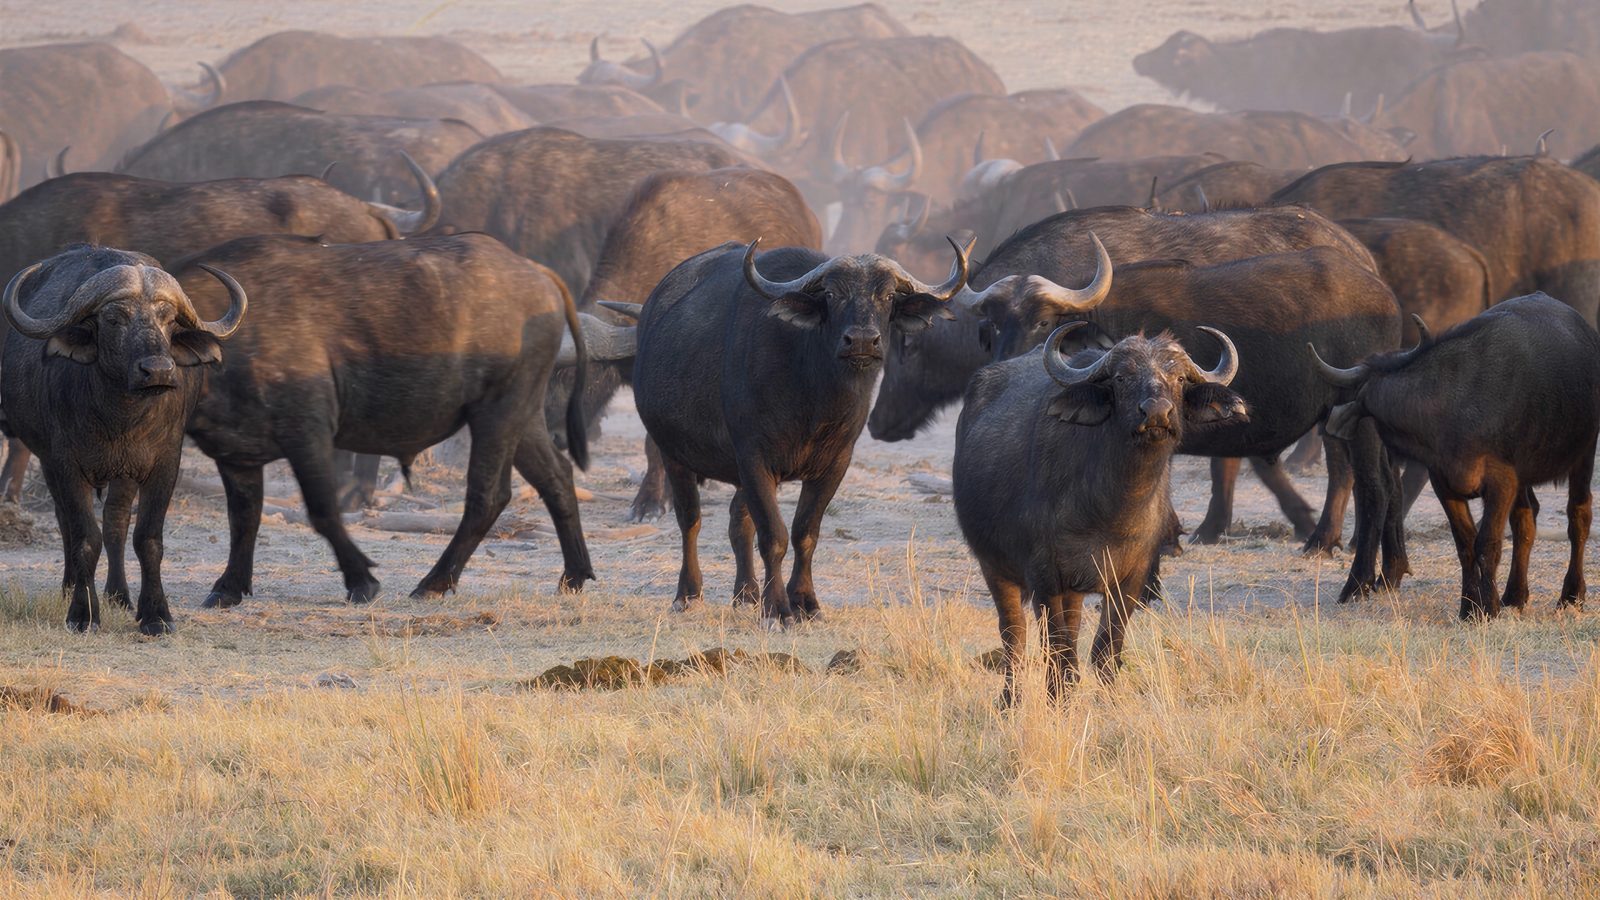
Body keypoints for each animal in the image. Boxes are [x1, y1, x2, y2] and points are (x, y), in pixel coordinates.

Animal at [1, 247, 246, 633]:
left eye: (168, 319)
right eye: (114, 319)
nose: (158, 370)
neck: (121, 419)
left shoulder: (163, 464)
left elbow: (146, 537)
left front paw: (156, 615)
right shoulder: (64, 464)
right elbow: (85, 537)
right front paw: (83, 613)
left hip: (123, 474)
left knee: (116, 522)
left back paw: (119, 594)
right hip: (50, 462)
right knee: (66, 522)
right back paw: (70, 586)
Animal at [631, 238, 968, 626]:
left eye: (887, 295)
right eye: (832, 294)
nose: (862, 341)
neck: (814, 397)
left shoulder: (835, 464)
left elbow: (805, 532)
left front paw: (805, 602)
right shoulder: (753, 458)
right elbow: (773, 536)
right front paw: (777, 609)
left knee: (738, 522)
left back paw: (746, 594)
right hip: (673, 453)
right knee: (690, 519)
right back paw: (688, 593)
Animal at [954, 323, 1245, 696]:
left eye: (1179, 378)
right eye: (1121, 377)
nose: (1156, 413)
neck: (1108, 512)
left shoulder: (1131, 580)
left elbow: (1105, 649)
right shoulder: (1044, 577)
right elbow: (1058, 650)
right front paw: (1058, 698)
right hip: (994, 566)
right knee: (1013, 635)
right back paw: (1010, 699)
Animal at [1311, 294, 1600, 618]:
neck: (1451, 409)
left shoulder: (1501, 482)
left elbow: (1488, 543)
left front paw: (1488, 608)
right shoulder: (1444, 483)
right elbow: (1465, 544)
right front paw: (1470, 607)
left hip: (1585, 454)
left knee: (1579, 516)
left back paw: (1571, 595)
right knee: (1526, 518)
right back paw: (1515, 594)